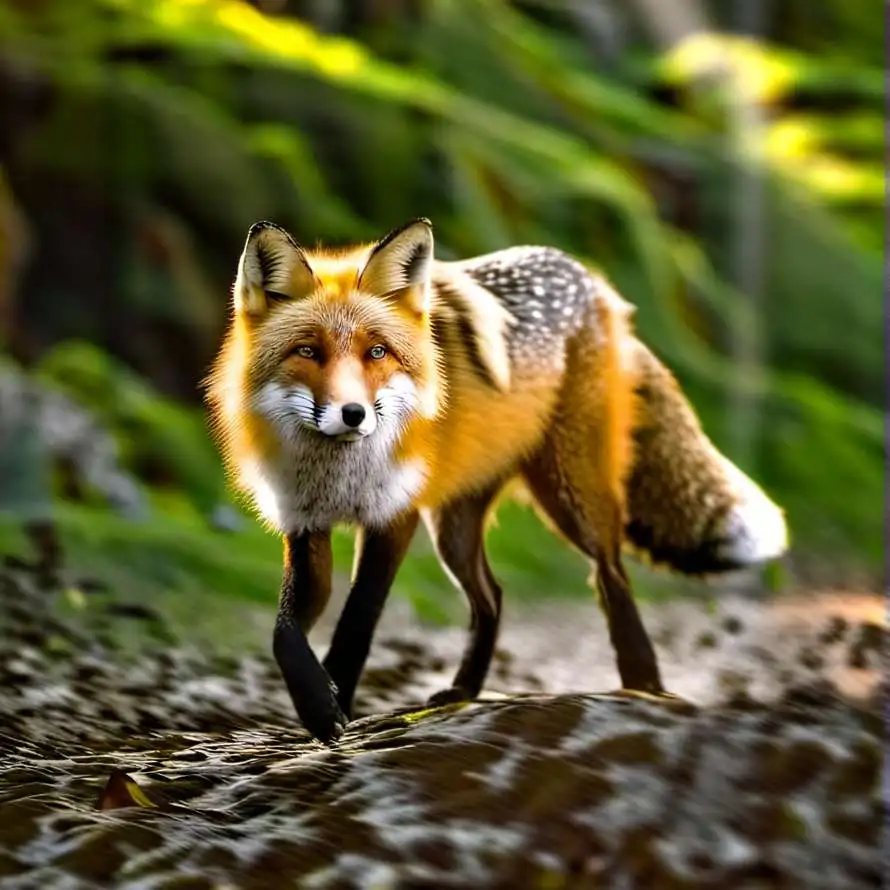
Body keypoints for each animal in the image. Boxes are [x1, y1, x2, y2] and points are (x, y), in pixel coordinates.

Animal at [204, 217, 789, 744]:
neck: (338, 473)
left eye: (377, 352)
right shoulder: (305, 524)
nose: (353, 414)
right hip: (454, 528)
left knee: (611, 576)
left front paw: (336, 709)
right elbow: (285, 634)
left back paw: (643, 686)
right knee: (493, 596)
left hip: (570, 498)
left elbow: (357, 623)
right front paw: (317, 705)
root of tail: (596, 283)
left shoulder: (394, 518)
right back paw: (464, 691)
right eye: (308, 351)